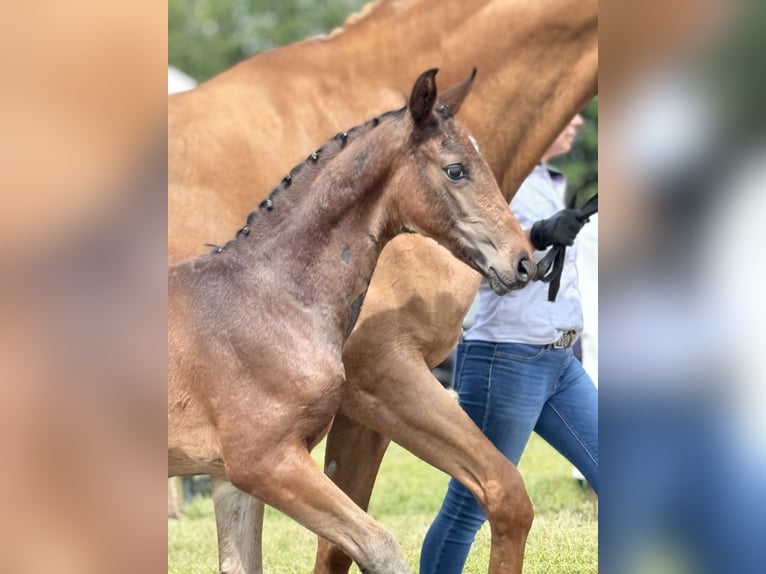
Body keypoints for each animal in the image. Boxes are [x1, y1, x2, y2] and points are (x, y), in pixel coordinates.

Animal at [168, 1, 597, 572]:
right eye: (456, 170)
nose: (525, 262)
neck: (271, 295)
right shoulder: (281, 448)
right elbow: (383, 544)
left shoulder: (235, 477)